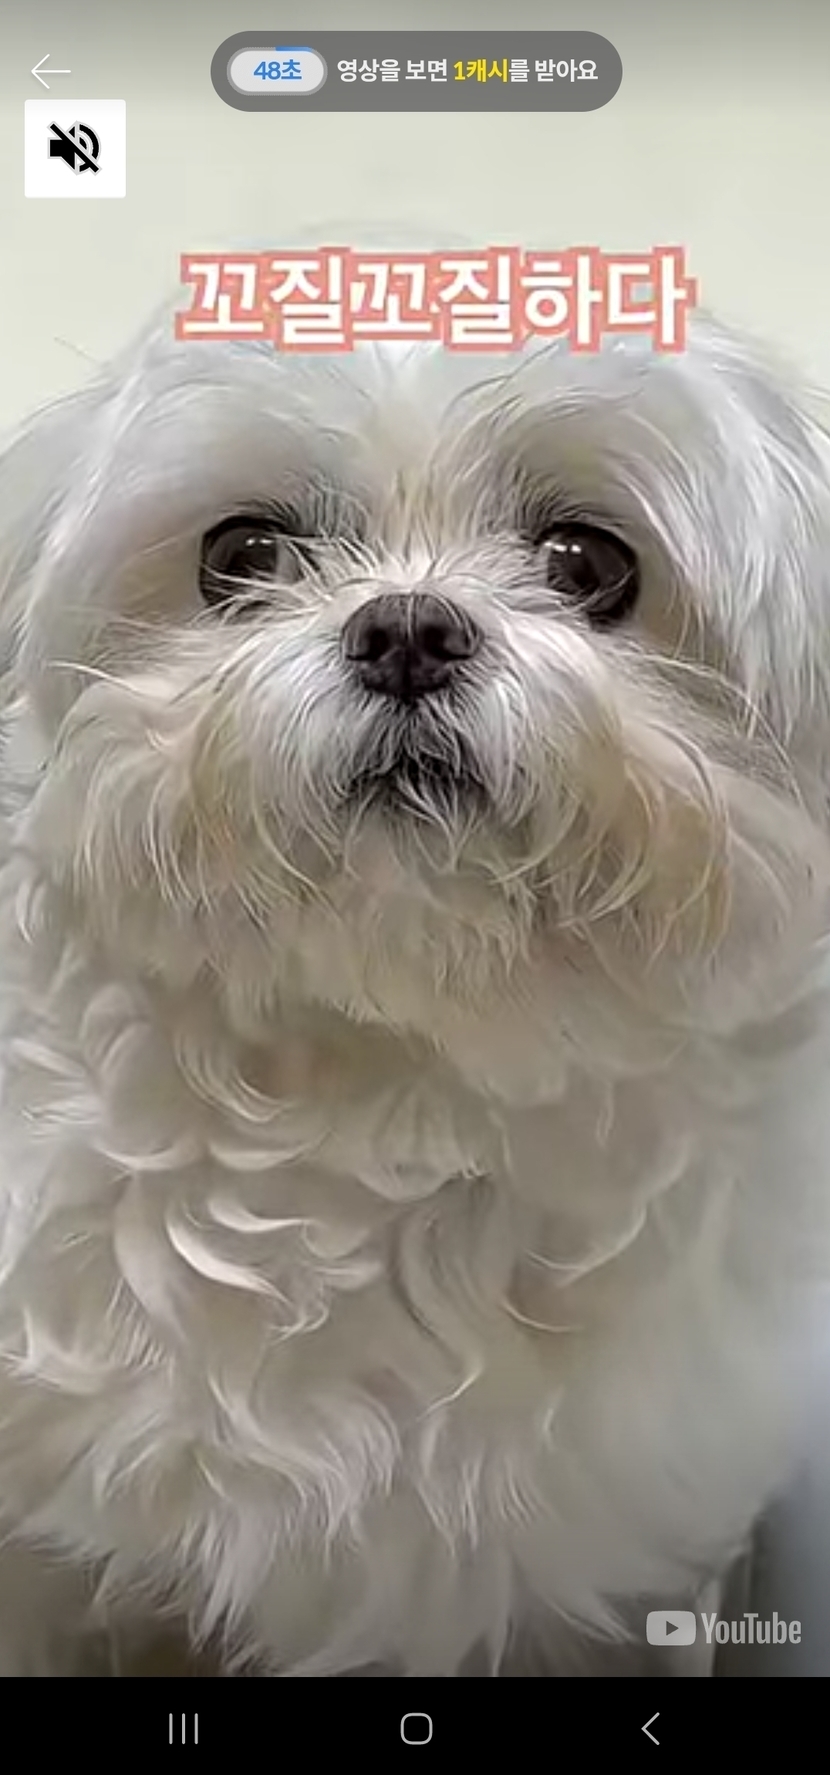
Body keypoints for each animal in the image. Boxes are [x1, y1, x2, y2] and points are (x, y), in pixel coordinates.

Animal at [1, 309, 830, 1675]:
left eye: (585, 561)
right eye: (242, 553)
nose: (405, 630)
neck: (387, 1094)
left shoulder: (582, 1577)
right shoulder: (63, 1556)